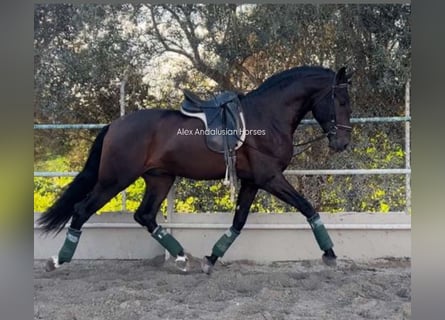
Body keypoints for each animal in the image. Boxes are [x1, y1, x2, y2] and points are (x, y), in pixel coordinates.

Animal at [37, 65, 350, 272]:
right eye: (341, 100)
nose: (343, 143)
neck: (266, 117)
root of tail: (115, 125)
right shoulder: (270, 177)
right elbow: (307, 207)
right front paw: (330, 253)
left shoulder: (252, 182)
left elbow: (238, 221)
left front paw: (212, 259)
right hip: (115, 180)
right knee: (82, 211)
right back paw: (58, 260)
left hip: (159, 179)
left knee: (145, 215)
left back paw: (181, 257)